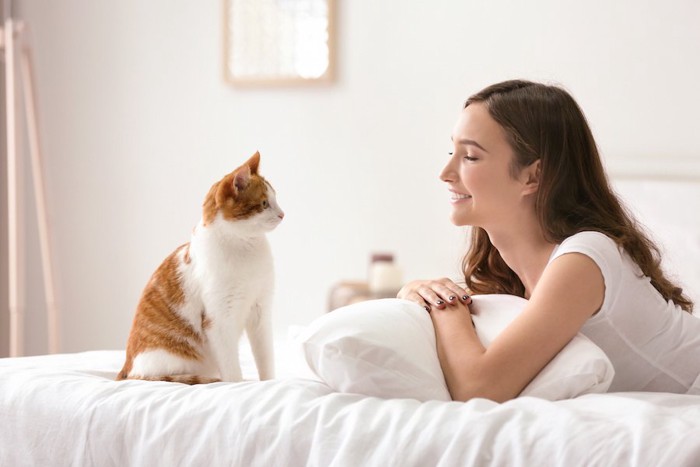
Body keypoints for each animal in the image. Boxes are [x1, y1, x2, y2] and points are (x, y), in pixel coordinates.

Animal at [117, 152, 284, 386]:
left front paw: (269, 383)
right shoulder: (219, 319)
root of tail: (126, 369)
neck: (246, 248)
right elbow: (231, 368)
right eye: (264, 203)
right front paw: (237, 385)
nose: (283, 214)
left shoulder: (261, 310)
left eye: (276, 200)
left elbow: (266, 356)